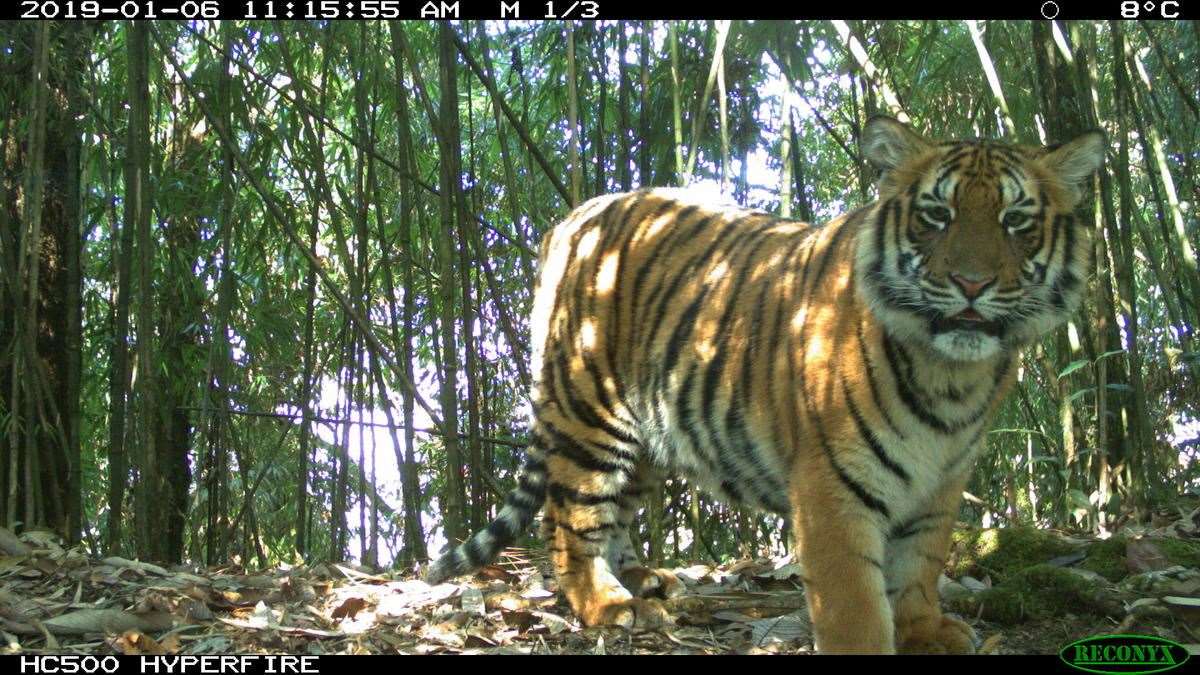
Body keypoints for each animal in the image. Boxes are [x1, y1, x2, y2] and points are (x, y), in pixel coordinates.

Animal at [424, 117, 1104, 653]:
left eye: (1017, 220)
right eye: (937, 216)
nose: (971, 284)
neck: (951, 373)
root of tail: (571, 218)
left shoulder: (941, 479)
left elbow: (920, 564)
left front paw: (924, 630)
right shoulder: (832, 483)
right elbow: (855, 601)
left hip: (646, 436)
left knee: (613, 514)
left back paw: (643, 579)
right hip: (591, 411)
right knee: (569, 520)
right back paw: (610, 604)